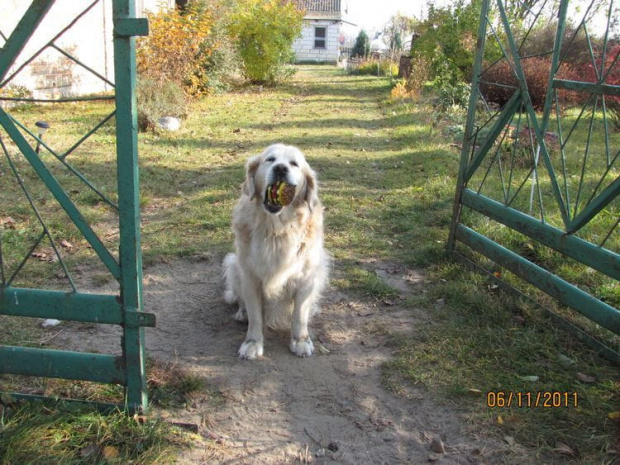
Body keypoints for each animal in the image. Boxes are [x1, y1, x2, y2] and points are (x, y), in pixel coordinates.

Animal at [223, 144, 330, 358]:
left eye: (294, 164)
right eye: (270, 159)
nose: (281, 169)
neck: (277, 229)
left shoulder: (306, 277)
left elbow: (299, 315)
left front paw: (301, 340)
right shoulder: (250, 277)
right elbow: (256, 316)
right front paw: (253, 343)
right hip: (233, 264)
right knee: (241, 300)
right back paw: (242, 313)